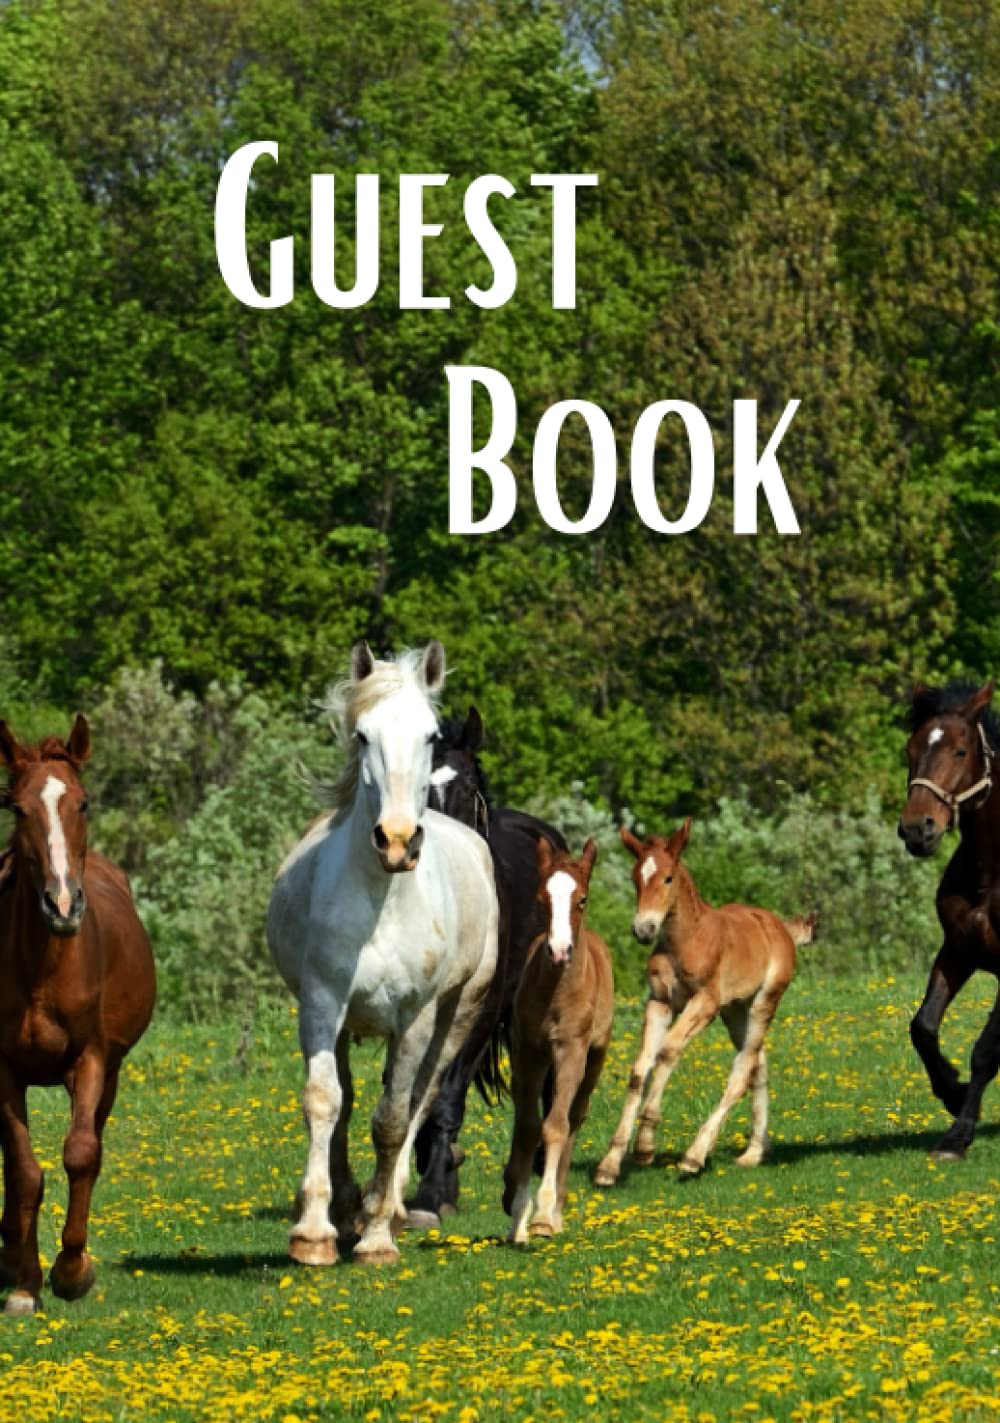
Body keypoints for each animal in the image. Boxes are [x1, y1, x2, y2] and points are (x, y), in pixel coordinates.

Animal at [0, 716, 155, 1314]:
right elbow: (23, 1172)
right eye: (17, 807)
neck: (42, 967)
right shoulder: (2, 1071)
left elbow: (82, 1153)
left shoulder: (89, 1060)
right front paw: (25, 1285)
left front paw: (71, 1272)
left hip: (108, 1073)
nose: (62, 904)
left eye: (83, 803)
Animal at [266, 644, 499, 1266]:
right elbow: (325, 1102)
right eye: (363, 735)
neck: (384, 901)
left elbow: (394, 1118)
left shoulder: (416, 1017)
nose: (396, 841)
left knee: (420, 1096)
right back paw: (350, 1203)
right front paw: (314, 1232)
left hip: (456, 1015)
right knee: (348, 1103)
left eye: (429, 735)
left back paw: (389, 1207)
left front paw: (375, 1239)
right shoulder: (322, 1003)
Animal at [502, 837, 613, 1242]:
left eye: (582, 899)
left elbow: (556, 1126)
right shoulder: (527, 1053)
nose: (560, 951)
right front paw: (516, 1211)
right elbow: (527, 1128)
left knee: (575, 1118)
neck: (555, 993)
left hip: (595, 1059)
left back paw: (558, 1211)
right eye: (541, 899)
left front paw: (543, 1217)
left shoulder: (571, 1052)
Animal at [595, 818, 816, 1182]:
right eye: (634, 878)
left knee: (742, 1069)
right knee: (757, 1064)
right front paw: (609, 1164)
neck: (684, 940)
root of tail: (781, 927)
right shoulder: (659, 1002)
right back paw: (755, 1152)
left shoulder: (705, 1003)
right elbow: (640, 1069)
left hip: (763, 1001)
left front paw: (644, 1146)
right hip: (736, 1010)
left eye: (668, 878)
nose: (643, 929)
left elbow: (668, 1050)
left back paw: (695, 1156)